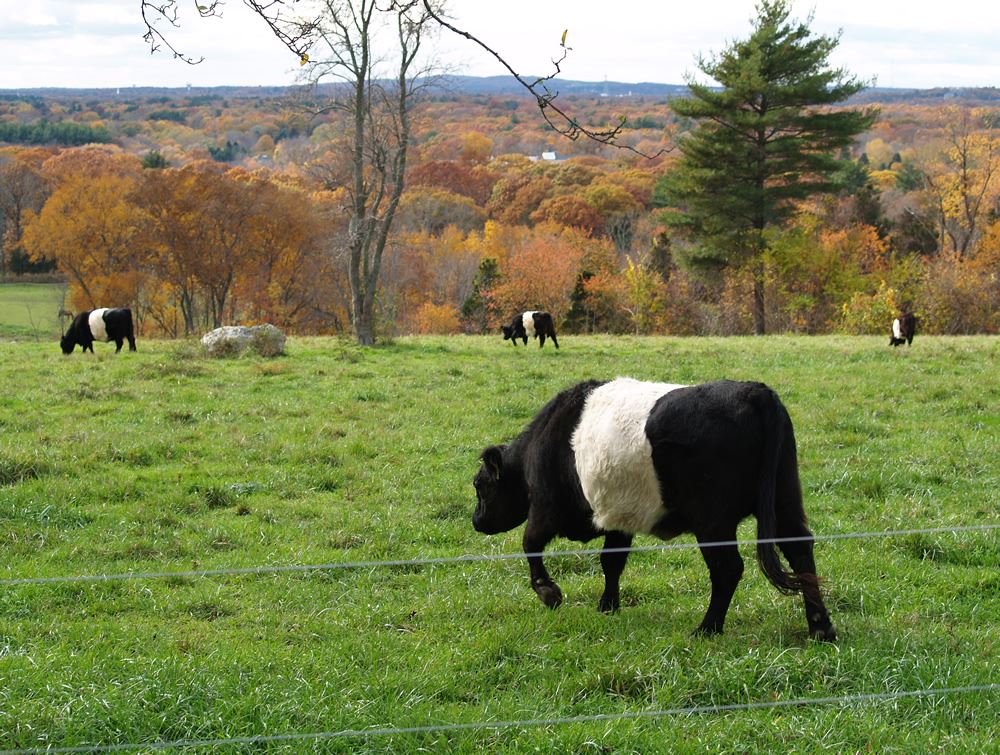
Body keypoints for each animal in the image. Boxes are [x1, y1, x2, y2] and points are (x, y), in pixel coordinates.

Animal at [472, 377, 835, 641]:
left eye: (480, 486)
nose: (476, 521)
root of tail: (753, 390)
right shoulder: (616, 519)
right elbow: (612, 562)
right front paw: (608, 606)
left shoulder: (547, 508)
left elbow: (530, 544)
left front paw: (549, 593)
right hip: (784, 500)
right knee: (800, 551)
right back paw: (820, 628)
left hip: (712, 521)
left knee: (728, 569)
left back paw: (707, 628)